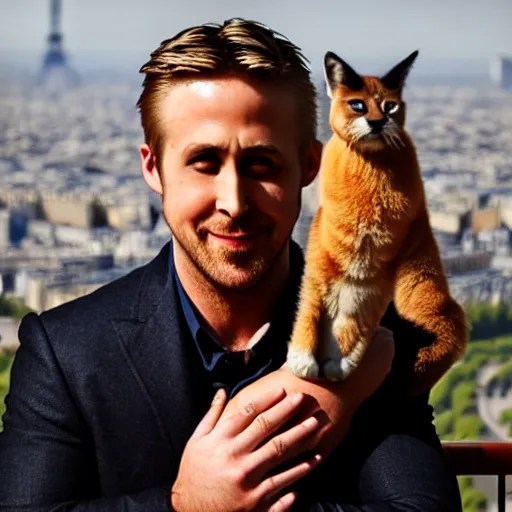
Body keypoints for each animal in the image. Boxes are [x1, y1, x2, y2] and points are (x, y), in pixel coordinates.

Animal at [286, 50, 470, 394]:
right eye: (357, 105)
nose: (376, 121)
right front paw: (302, 359)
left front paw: (341, 365)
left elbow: (357, 319)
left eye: (390, 106)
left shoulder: (375, 277)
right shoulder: (321, 260)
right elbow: (310, 304)